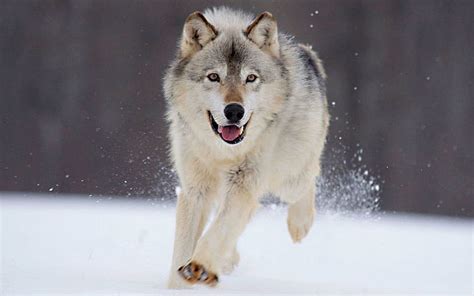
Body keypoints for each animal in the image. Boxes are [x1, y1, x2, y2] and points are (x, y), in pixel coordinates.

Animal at [164, 6, 330, 288]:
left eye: (251, 78)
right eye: (214, 77)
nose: (234, 111)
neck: (223, 152)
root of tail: (307, 55)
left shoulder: (244, 183)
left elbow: (219, 229)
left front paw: (200, 266)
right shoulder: (195, 190)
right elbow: (184, 247)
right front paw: (180, 284)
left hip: (287, 177)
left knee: (308, 179)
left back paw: (300, 224)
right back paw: (227, 261)